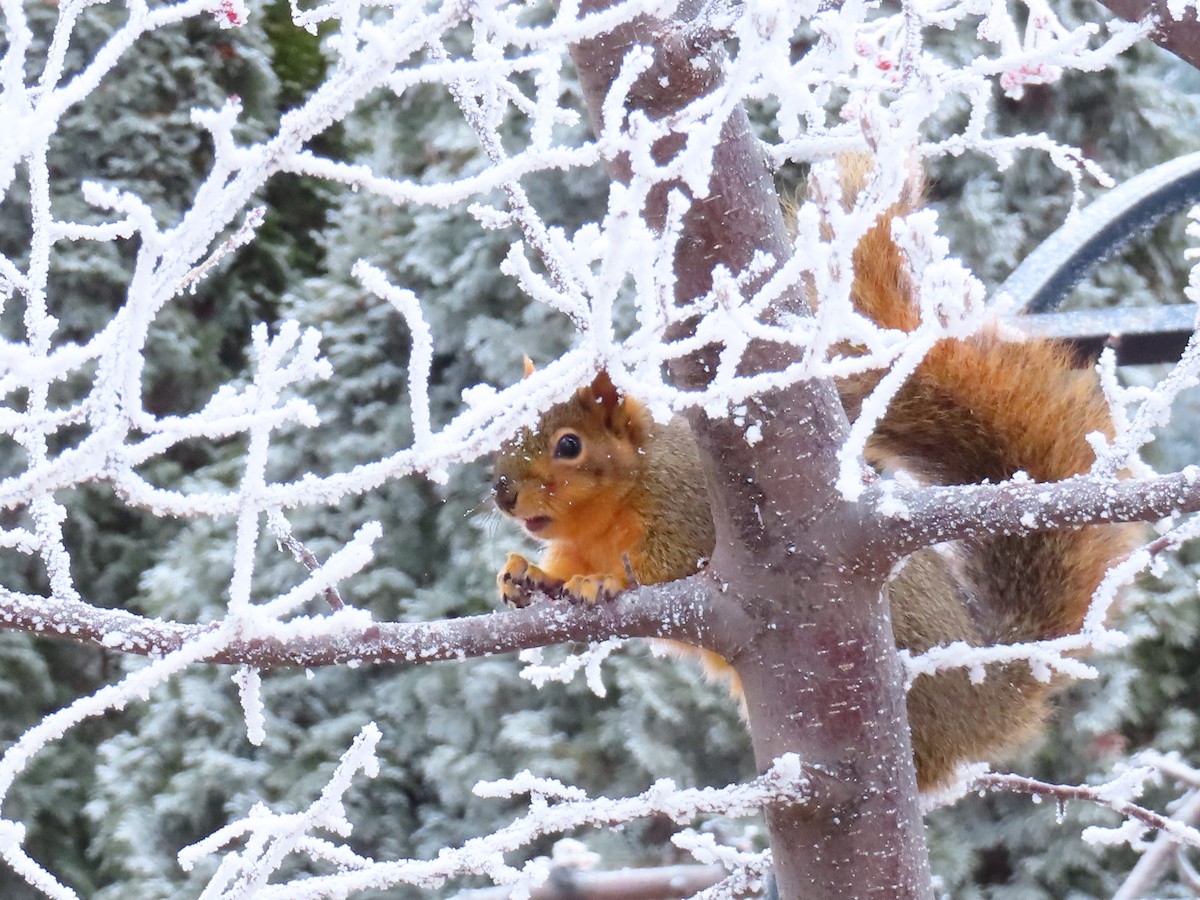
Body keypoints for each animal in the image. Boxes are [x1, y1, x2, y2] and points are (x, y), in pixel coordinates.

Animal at [491, 159, 1131, 792]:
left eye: (569, 445)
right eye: (502, 432)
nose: (501, 493)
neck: (607, 513)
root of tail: (990, 694)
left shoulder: (688, 512)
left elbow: (665, 571)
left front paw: (604, 583)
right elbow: (555, 570)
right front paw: (523, 573)